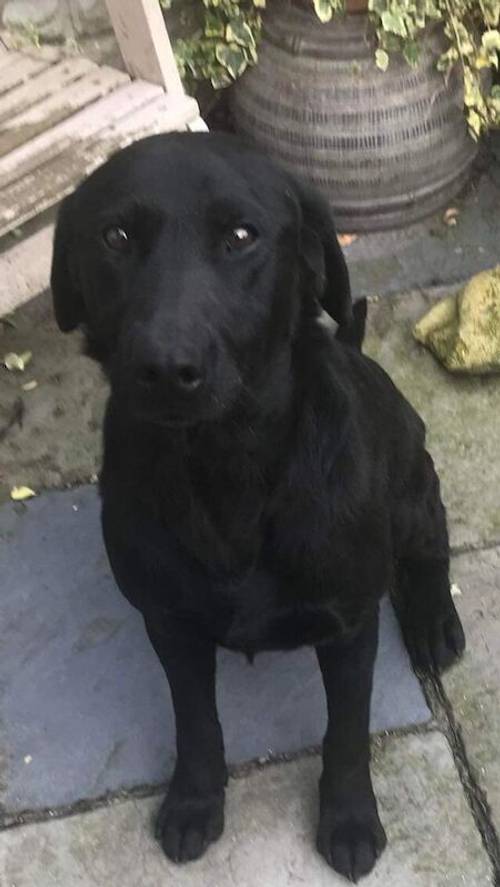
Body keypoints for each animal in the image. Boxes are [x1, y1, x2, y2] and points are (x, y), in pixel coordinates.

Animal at [51, 132, 464, 880]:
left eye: (241, 236)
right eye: (115, 236)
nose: (166, 368)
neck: (226, 470)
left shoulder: (348, 626)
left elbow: (347, 732)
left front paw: (349, 818)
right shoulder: (170, 623)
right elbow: (196, 721)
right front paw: (194, 799)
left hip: (415, 485)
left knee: (431, 545)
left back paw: (433, 620)